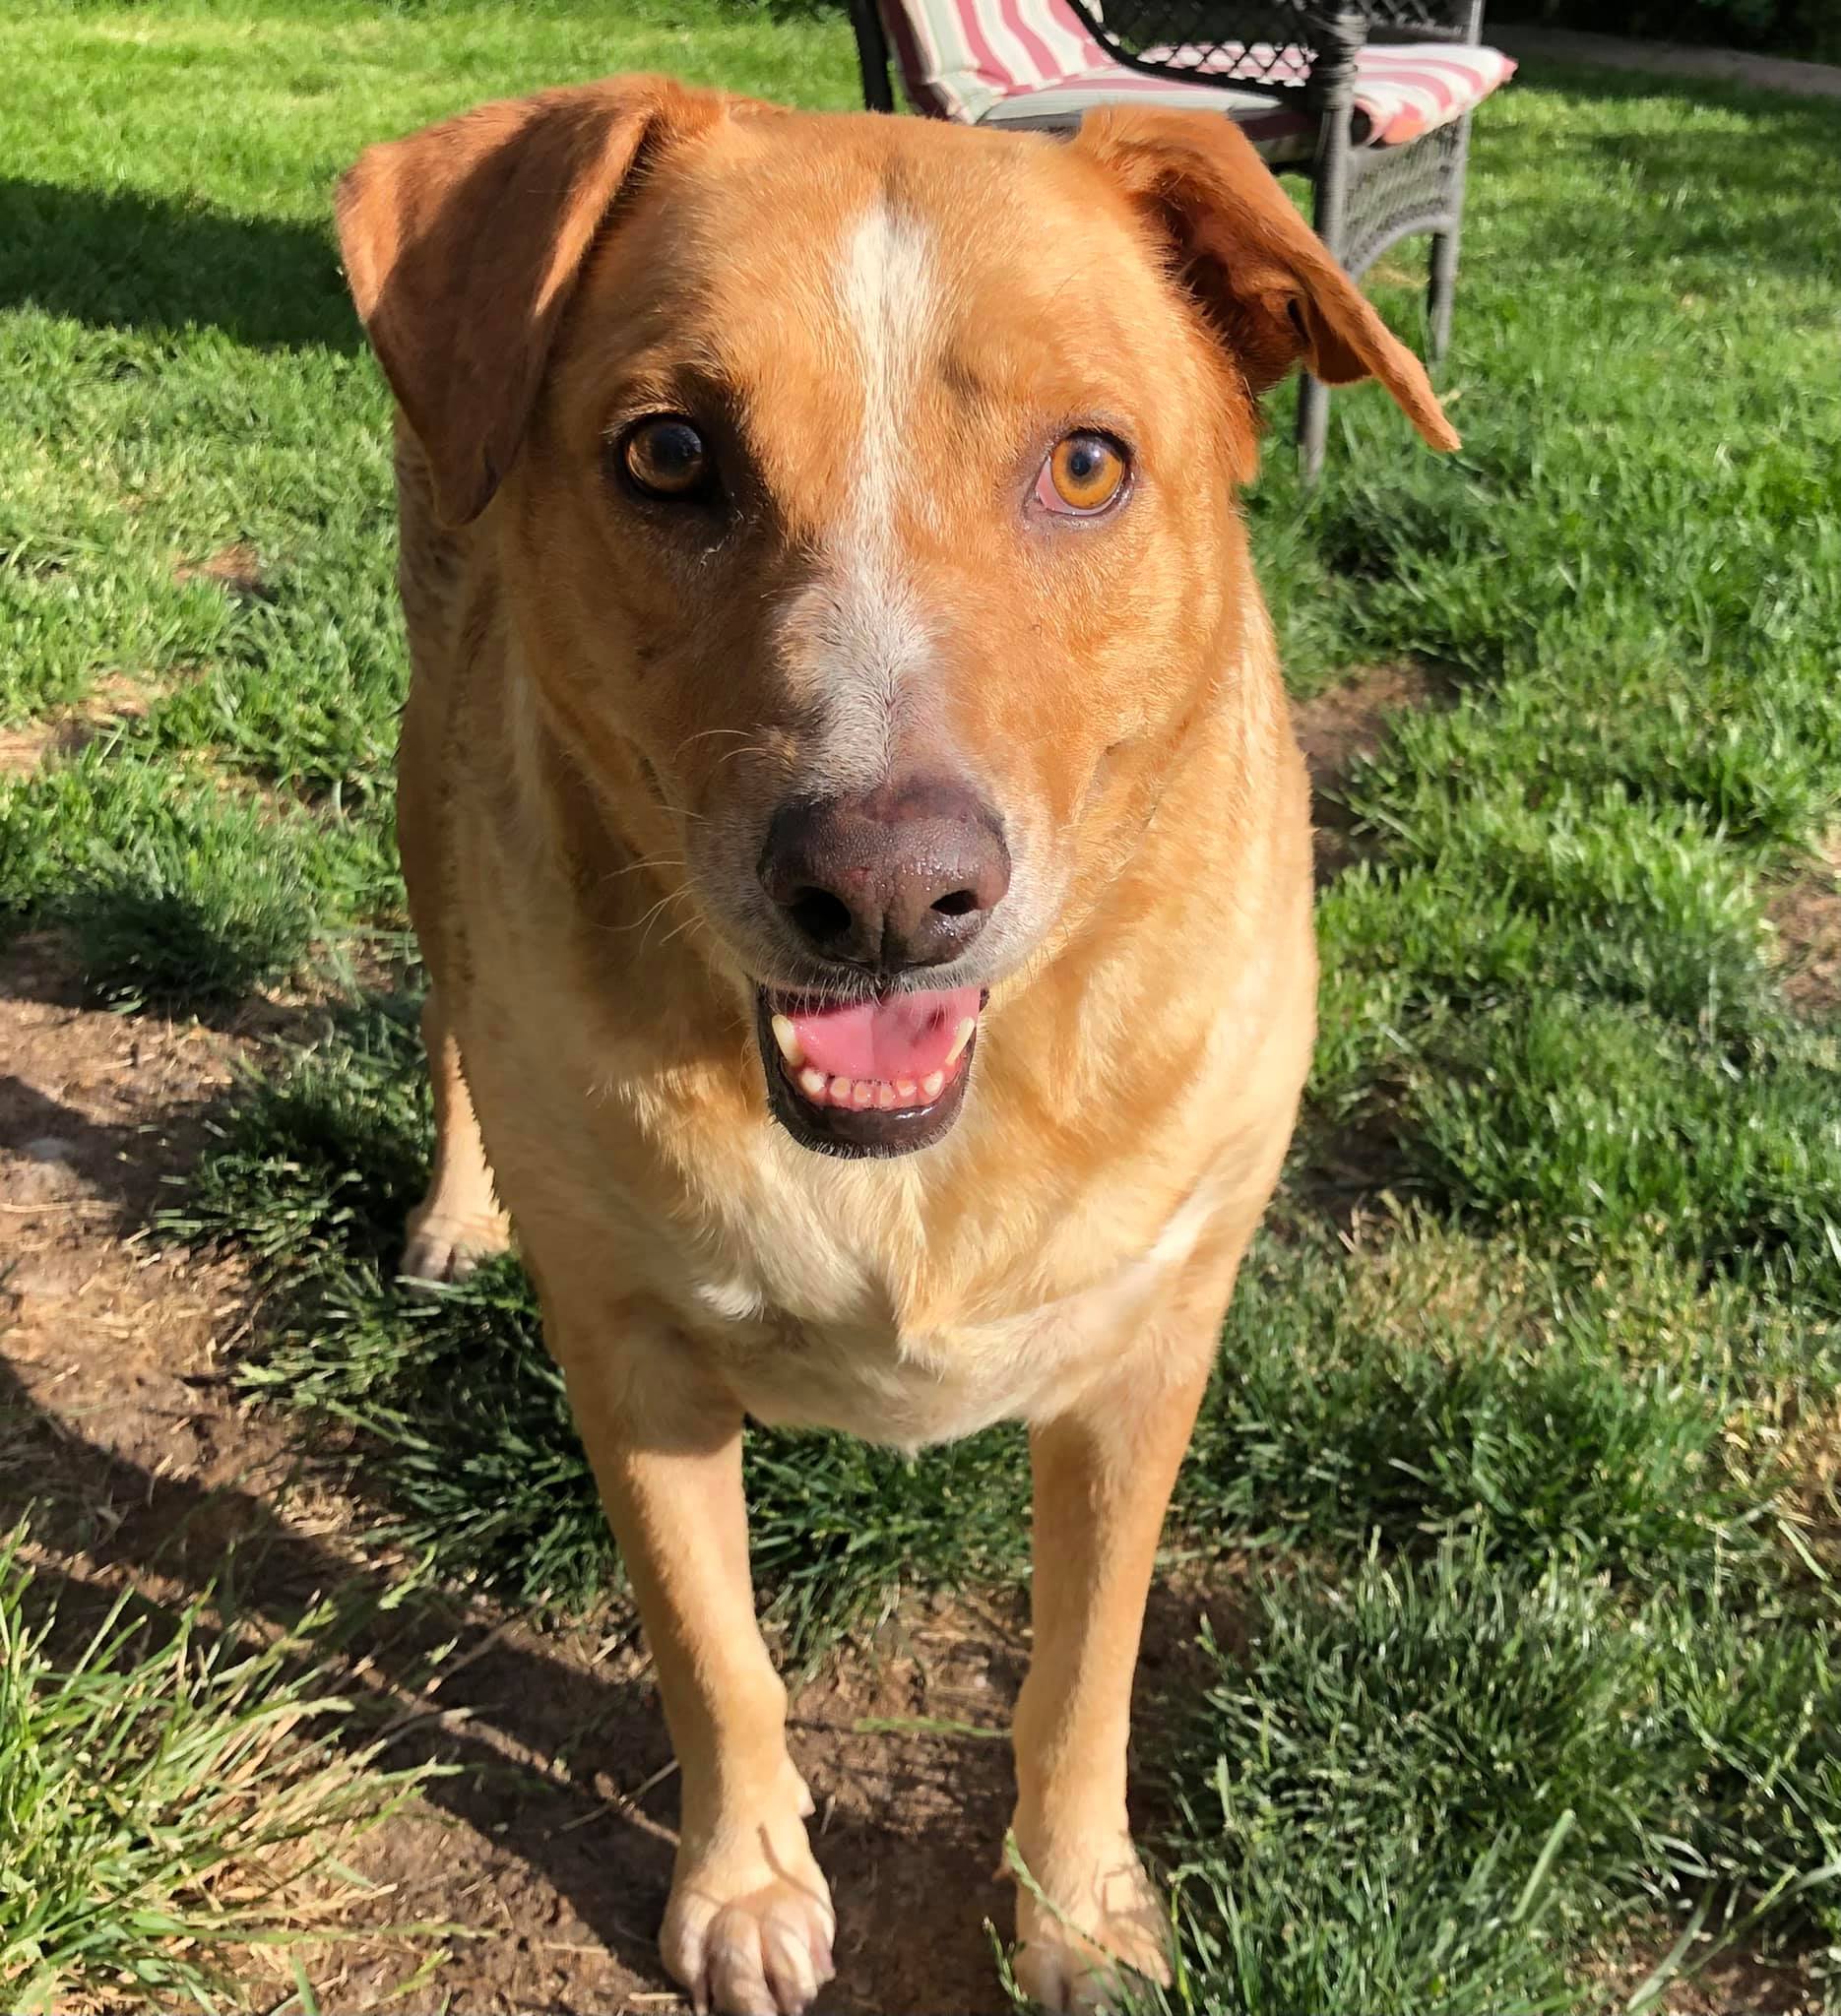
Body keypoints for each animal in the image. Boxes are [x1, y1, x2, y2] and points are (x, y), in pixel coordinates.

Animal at [330, 71, 1451, 2007]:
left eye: (1088, 464)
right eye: (668, 455)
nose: (879, 893)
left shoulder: (1153, 1350)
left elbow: (1083, 1676)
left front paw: (1075, 1912)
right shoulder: (626, 1353)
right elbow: (711, 1651)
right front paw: (746, 1886)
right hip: (430, 758)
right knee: (453, 1005)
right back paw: (458, 1206)